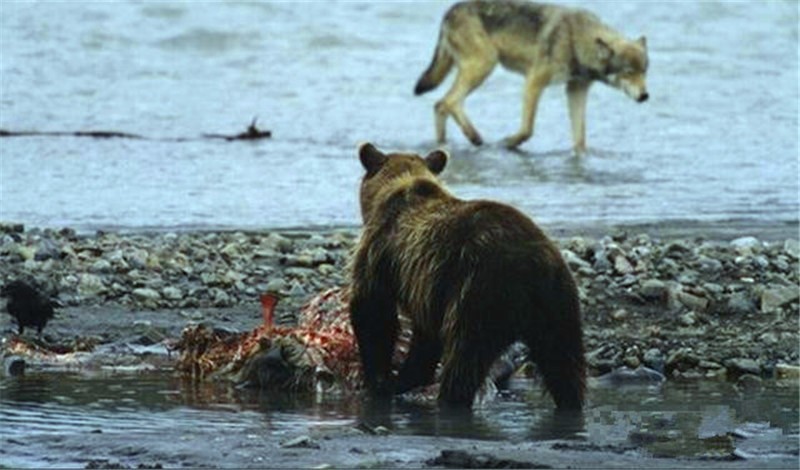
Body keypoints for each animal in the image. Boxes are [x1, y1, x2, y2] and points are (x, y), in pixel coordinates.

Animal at [346, 142, 584, 408]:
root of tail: (533, 267)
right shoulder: (428, 288)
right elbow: (425, 337)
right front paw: (404, 378)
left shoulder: (381, 250)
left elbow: (372, 309)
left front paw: (380, 381)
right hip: (559, 304)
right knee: (564, 365)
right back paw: (570, 402)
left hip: (479, 293)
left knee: (464, 359)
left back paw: (450, 399)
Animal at [416, 0, 648, 151]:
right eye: (629, 73)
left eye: (644, 71)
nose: (645, 96)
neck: (575, 40)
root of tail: (450, 11)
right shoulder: (533, 81)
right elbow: (528, 128)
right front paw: (509, 142)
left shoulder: (576, 89)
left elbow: (580, 139)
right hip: (484, 66)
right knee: (448, 102)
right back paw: (475, 138)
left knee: (440, 105)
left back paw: (444, 146)